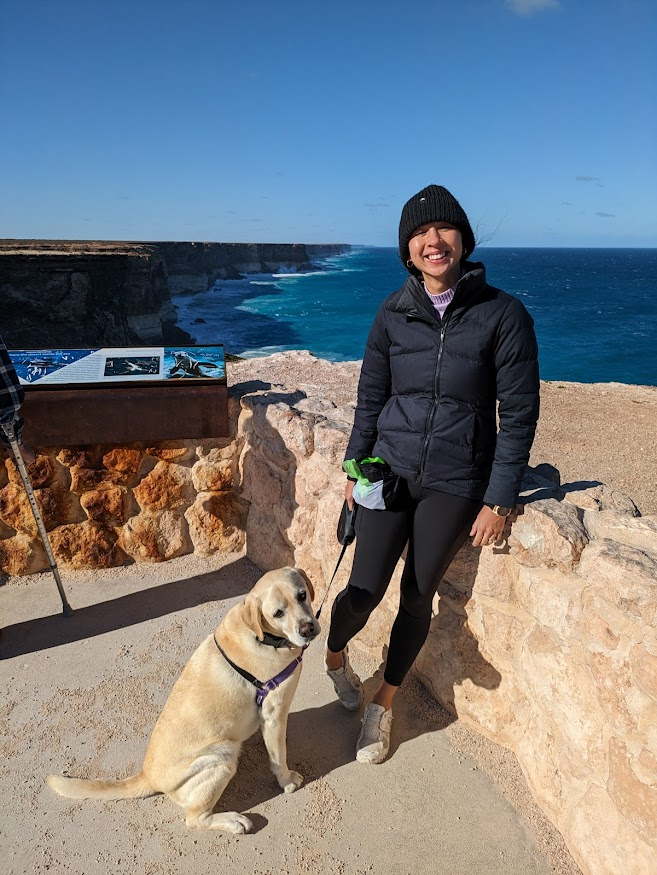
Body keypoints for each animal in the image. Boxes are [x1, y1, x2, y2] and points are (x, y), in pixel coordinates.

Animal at [47, 568, 320, 836]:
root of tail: (148, 776)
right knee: (194, 818)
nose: (308, 628)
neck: (261, 636)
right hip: (220, 757)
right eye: (278, 613)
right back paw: (233, 821)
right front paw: (287, 781)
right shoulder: (273, 713)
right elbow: (278, 758)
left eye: (302, 595)